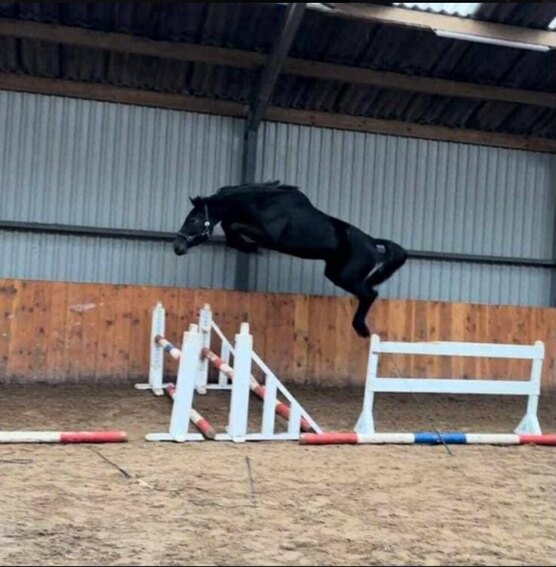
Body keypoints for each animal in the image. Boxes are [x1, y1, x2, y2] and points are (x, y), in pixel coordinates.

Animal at [173, 181, 408, 338]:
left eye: (193, 220)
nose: (177, 246)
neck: (262, 202)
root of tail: (373, 243)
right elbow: (229, 225)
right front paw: (245, 246)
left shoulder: (270, 236)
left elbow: (232, 225)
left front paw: (250, 247)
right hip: (335, 272)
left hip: (345, 277)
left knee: (370, 294)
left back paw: (362, 329)